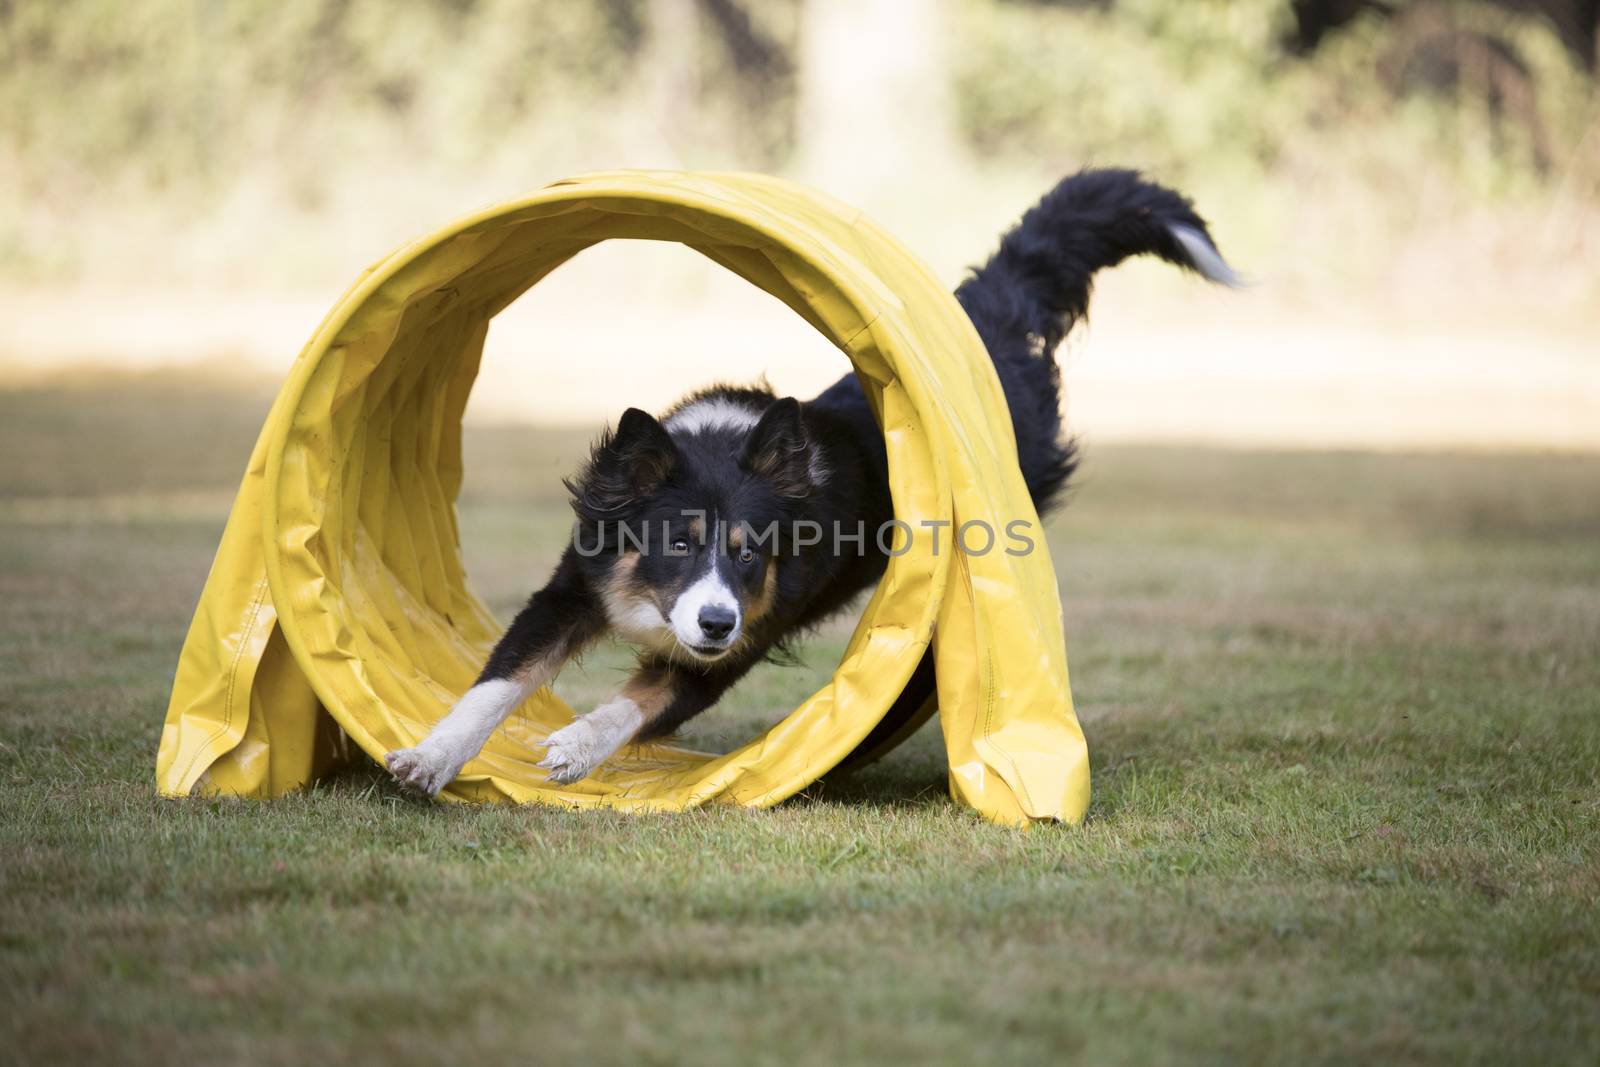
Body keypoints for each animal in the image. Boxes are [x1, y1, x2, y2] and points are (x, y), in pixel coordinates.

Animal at [384, 168, 1235, 793]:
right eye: (678, 543)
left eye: (749, 552)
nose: (714, 621)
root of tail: (990, 329)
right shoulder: (573, 586)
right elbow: (497, 681)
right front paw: (430, 757)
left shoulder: (739, 643)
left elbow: (637, 701)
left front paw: (573, 745)